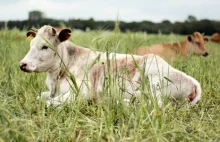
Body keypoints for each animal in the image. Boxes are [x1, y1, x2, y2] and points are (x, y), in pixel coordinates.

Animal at [19, 25, 202, 106]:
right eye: (31, 45)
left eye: (45, 46)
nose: (22, 64)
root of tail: (192, 81)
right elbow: (40, 97)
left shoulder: (82, 93)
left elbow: (49, 102)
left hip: (153, 79)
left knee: (153, 104)